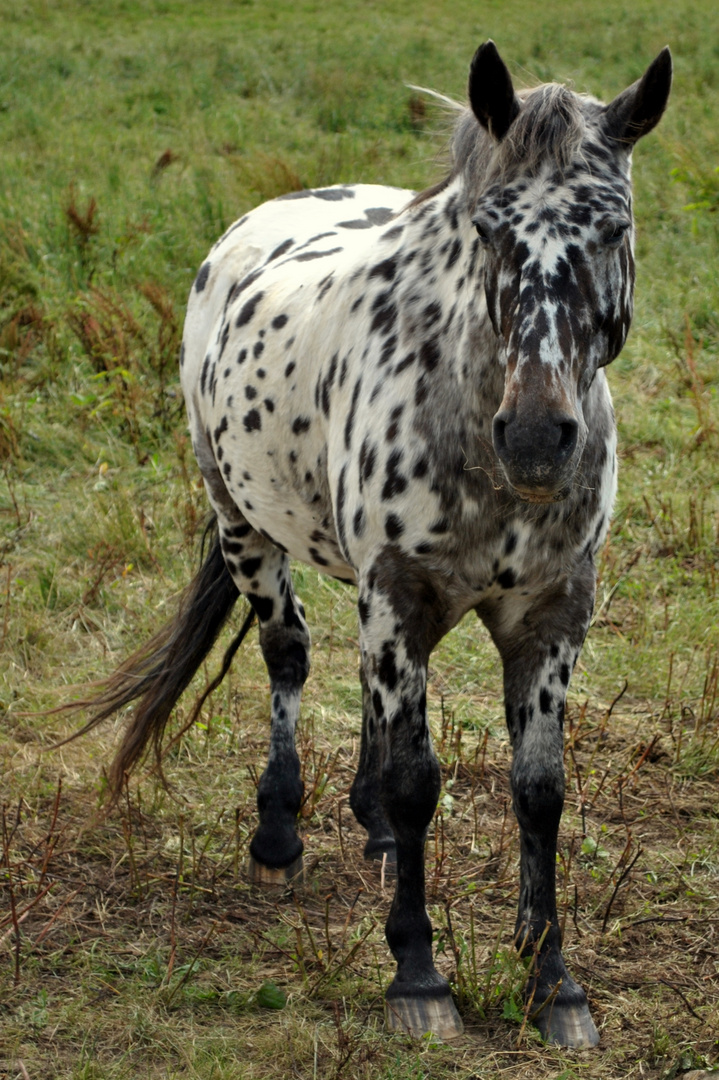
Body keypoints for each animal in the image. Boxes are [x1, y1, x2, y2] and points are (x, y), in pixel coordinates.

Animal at [62, 42, 673, 1045]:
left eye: (611, 225)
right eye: (489, 229)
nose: (536, 439)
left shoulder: (551, 614)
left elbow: (538, 792)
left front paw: (552, 981)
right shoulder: (399, 591)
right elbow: (418, 781)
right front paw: (417, 975)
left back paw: (373, 830)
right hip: (244, 525)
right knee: (289, 654)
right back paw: (279, 835)